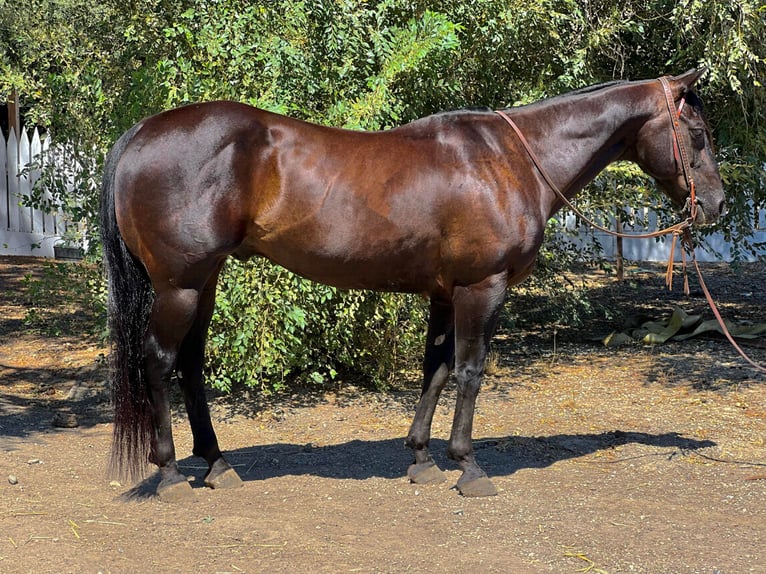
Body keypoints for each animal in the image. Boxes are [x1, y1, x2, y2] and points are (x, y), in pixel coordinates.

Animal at [100, 67, 728, 502]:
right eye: (697, 133)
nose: (717, 206)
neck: (511, 160)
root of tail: (141, 134)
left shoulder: (446, 293)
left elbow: (438, 369)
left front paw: (422, 458)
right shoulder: (482, 288)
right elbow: (471, 371)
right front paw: (468, 466)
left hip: (203, 283)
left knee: (191, 364)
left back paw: (217, 464)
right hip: (179, 286)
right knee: (158, 361)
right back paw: (171, 473)